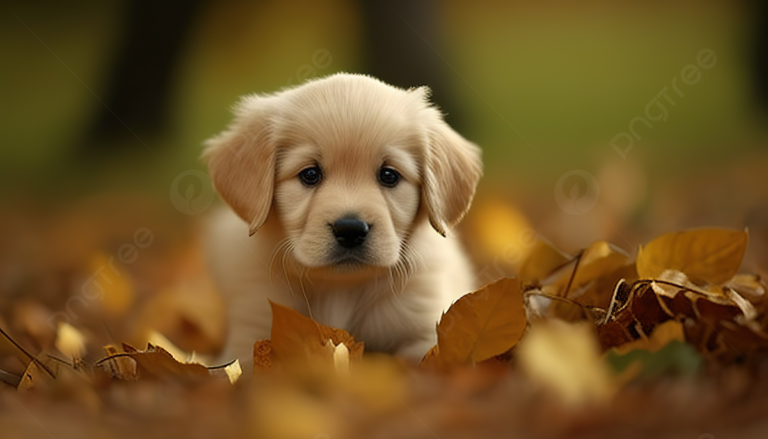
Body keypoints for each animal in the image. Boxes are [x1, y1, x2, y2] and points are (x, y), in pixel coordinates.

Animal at [204, 74, 480, 370]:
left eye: (389, 175)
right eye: (310, 174)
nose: (350, 229)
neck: (340, 288)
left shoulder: (423, 328)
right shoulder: (252, 328)